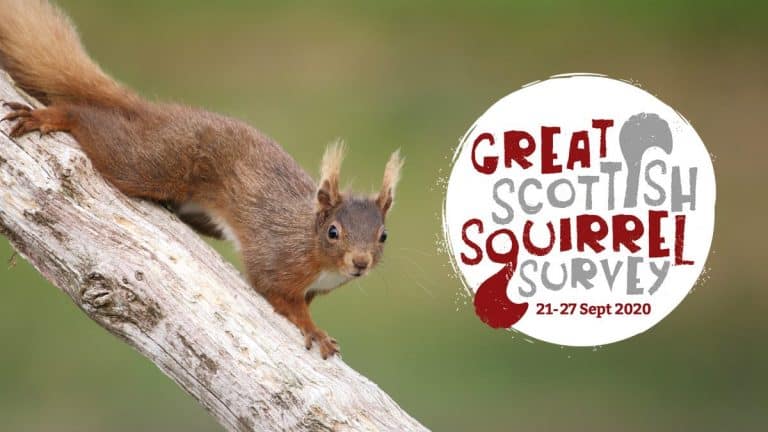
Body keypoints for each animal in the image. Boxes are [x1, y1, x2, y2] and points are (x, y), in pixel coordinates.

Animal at [0, 0, 403, 359]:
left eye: (383, 236)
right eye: (333, 232)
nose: (360, 263)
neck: (315, 248)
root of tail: (163, 114)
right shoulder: (279, 261)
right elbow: (278, 296)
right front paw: (314, 330)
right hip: (152, 164)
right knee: (95, 126)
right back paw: (56, 117)